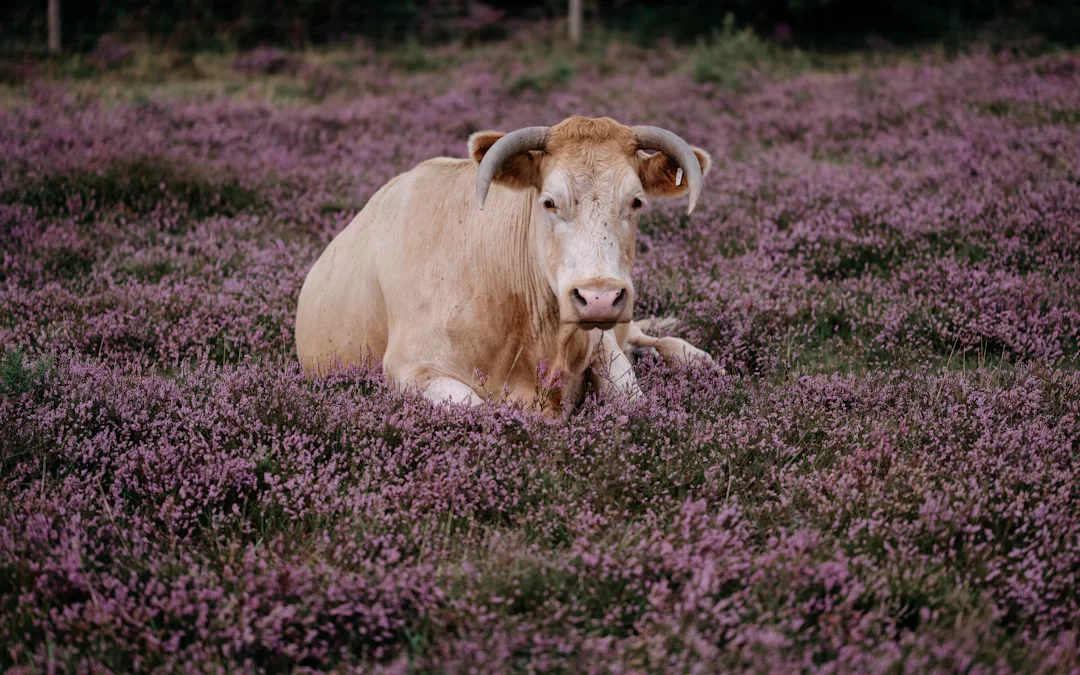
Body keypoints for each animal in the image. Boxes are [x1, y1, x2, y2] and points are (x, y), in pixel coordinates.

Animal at [298, 113, 717, 412]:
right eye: (548, 201)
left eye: (636, 201)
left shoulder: (598, 339)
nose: (599, 299)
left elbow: (630, 400)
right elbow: (481, 411)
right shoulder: (410, 368)